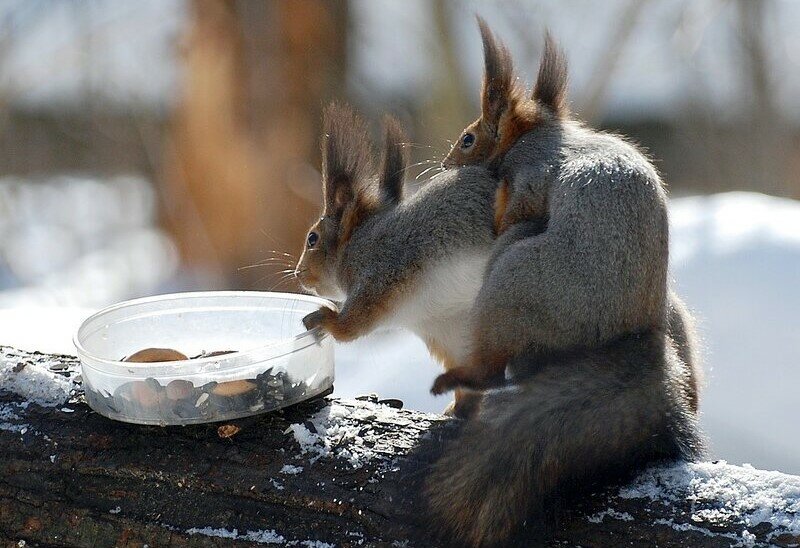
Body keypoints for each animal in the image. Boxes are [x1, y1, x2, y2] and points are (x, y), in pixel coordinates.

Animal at [296, 105, 500, 418]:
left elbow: (353, 324)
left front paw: (325, 319)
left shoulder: (383, 271)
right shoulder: (447, 327)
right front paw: (460, 407)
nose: (298, 273)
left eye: (312, 239)